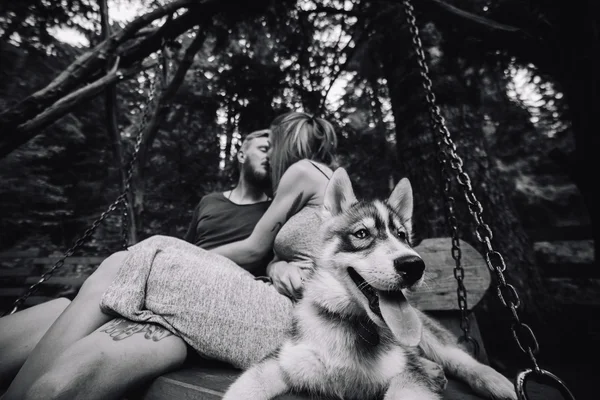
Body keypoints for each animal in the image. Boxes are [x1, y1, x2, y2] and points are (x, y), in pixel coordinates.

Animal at [223, 169, 512, 400]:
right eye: (361, 234)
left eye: (402, 235)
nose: (413, 265)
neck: (352, 323)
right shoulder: (281, 360)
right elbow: (245, 387)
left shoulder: (407, 375)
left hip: (429, 335)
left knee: (460, 358)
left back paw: (497, 382)